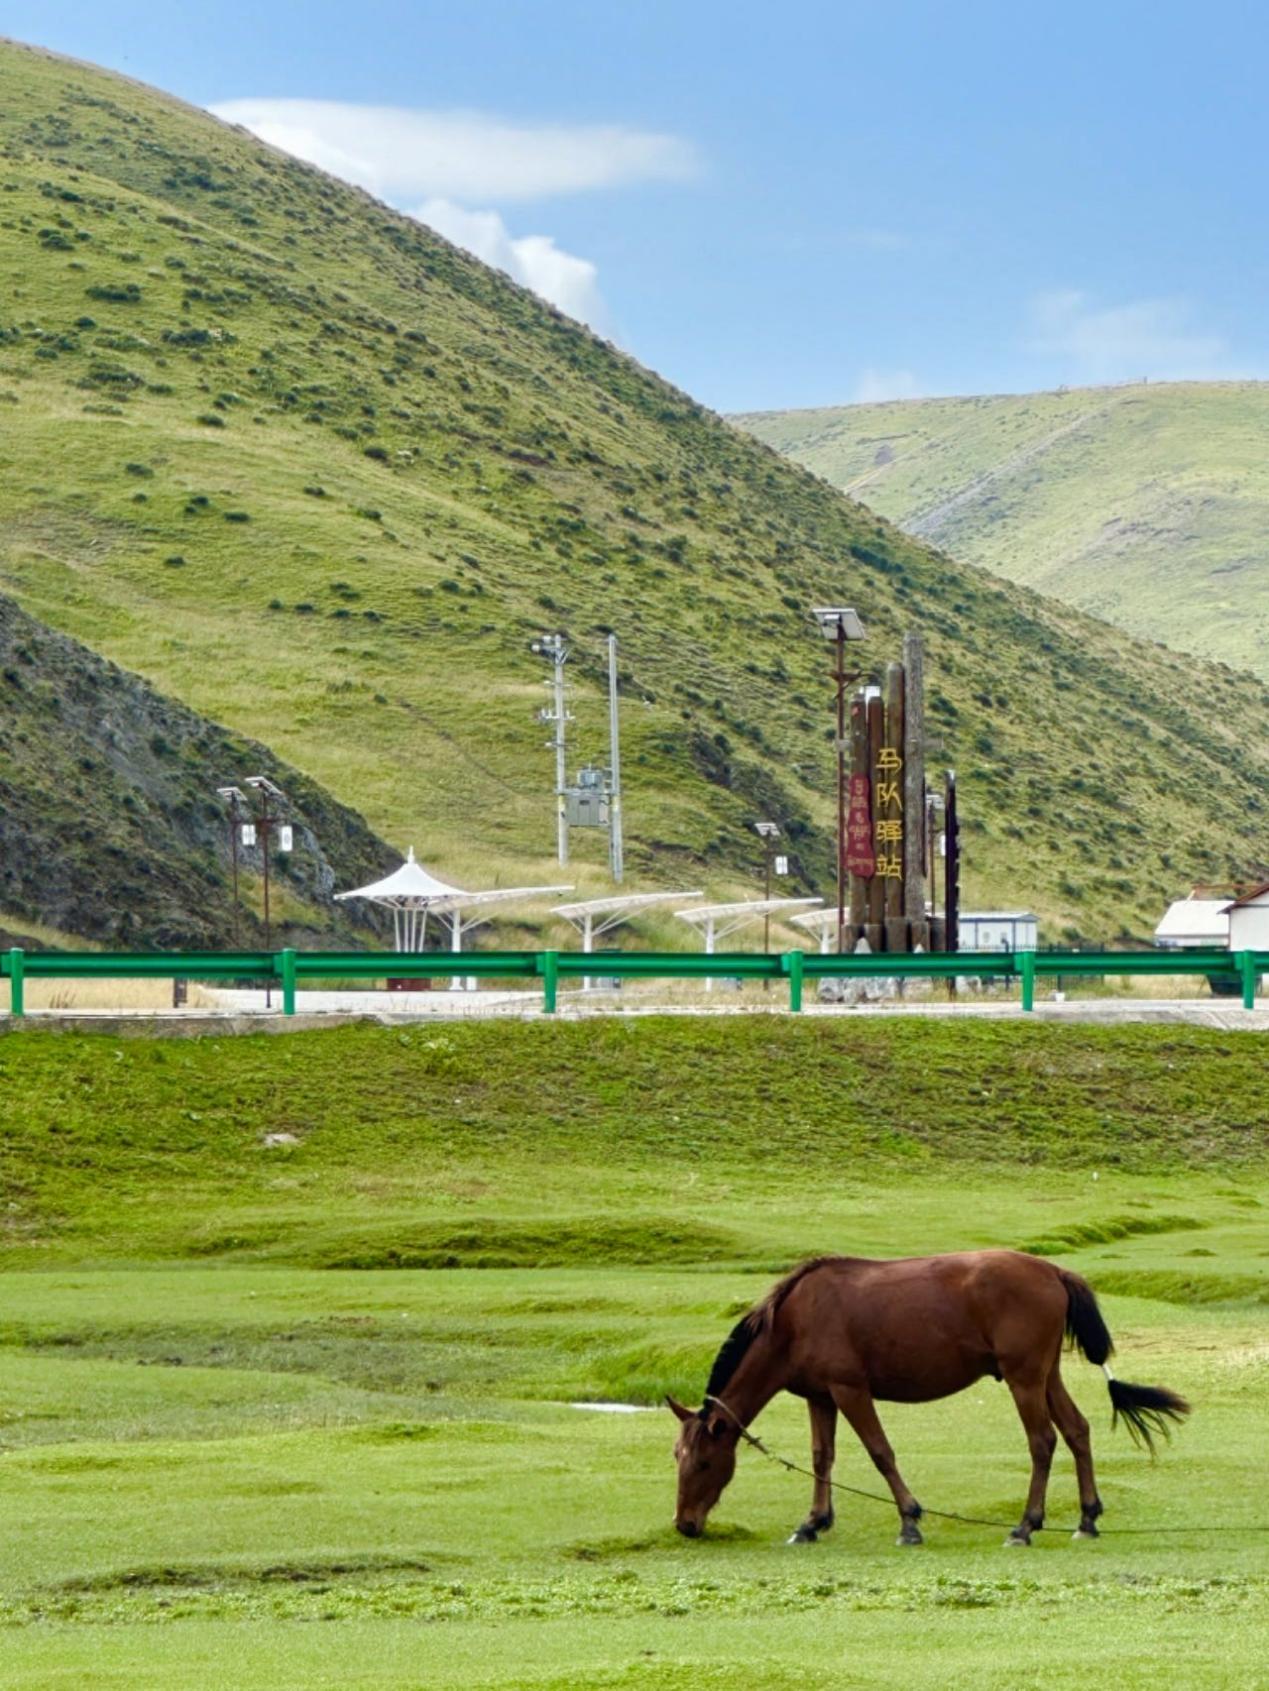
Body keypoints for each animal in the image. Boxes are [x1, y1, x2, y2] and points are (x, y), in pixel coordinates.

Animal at [670, 1258, 1191, 1548]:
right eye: (678, 1458)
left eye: (702, 1463)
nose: (684, 1525)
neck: (794, 1321)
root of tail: (1053, 1271)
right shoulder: (821, 1396)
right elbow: (823, 1458)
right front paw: (813, 1522)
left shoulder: (850, 1389)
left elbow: (880, 1453)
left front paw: (909, 1520)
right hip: (1046, 1376)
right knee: (1077, 1430)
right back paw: (1086, 1517)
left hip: (1024, 1378)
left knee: (1043, 1441)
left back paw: (1025, 1526)